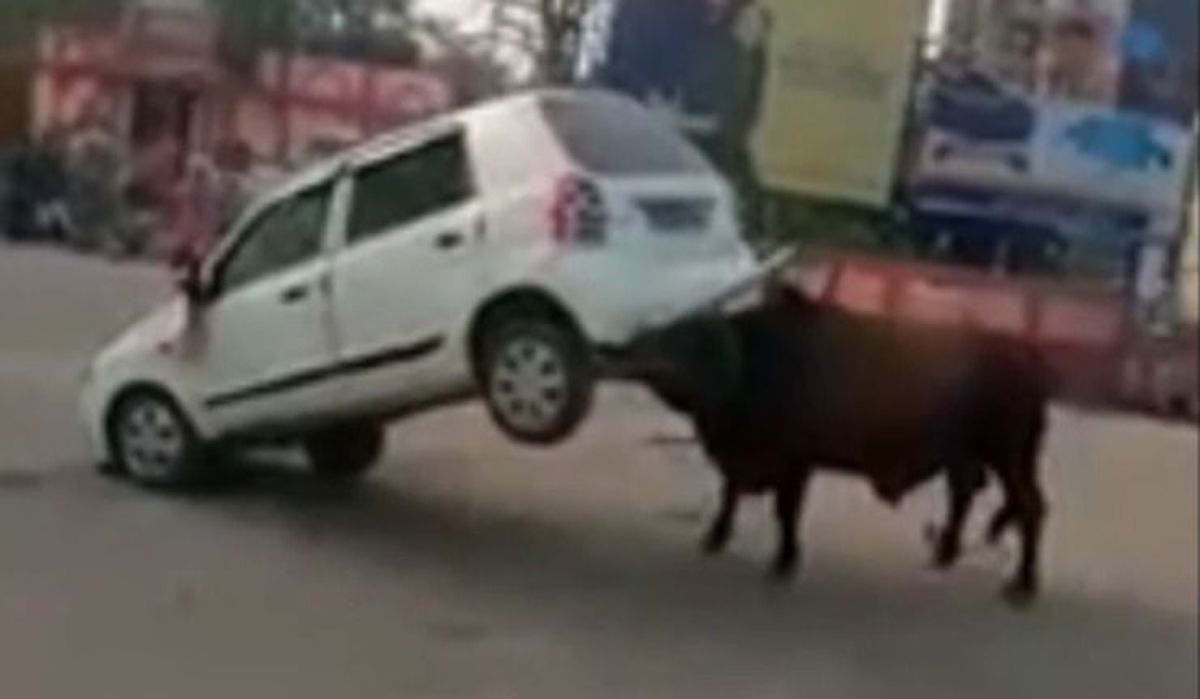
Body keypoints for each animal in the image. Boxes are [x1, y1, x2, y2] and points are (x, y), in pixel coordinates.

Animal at [624, 284, 1056, 607]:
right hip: (967, 456)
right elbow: (729, 493)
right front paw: (716, 535)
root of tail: (1024, 360)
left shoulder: (795, 461)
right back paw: (946, 551)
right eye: (664, 337)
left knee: (1030, 508)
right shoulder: (747, 460)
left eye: (692, 344)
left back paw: (1023, 584)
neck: (757, 360)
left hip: (1010, 456)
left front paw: (784, 560)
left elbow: (786, 511)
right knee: (964, 492)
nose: (648, 363)